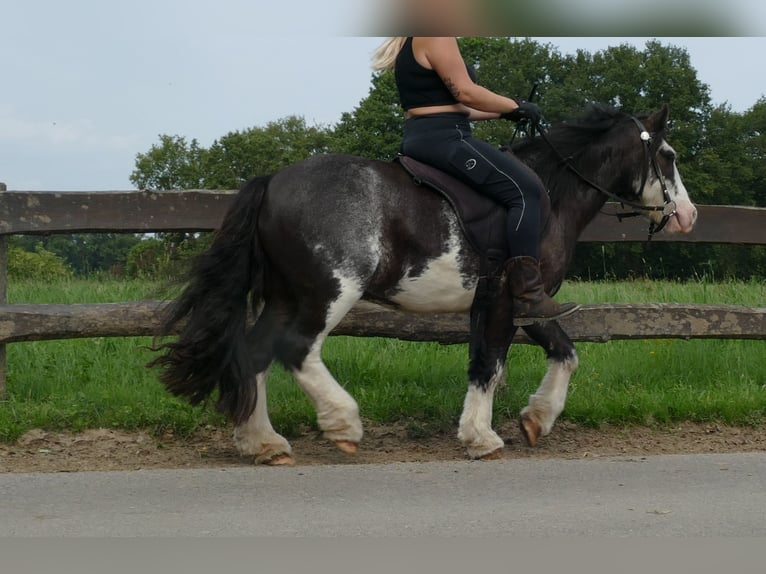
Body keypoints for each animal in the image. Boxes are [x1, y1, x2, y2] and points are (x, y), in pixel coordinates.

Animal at [147, 103, 700, 466]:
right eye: (669, 155)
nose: (688, 216)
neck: (550, 196)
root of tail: (273, 182)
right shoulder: (504, 298)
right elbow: (488, 365)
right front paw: (481, 437)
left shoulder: (528, 302)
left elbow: (562, 353)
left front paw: (536, 420)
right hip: (328, 292)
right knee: (296, 349)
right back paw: (342, 424)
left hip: (288, 295)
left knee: (254, 352)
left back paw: (262, 443)